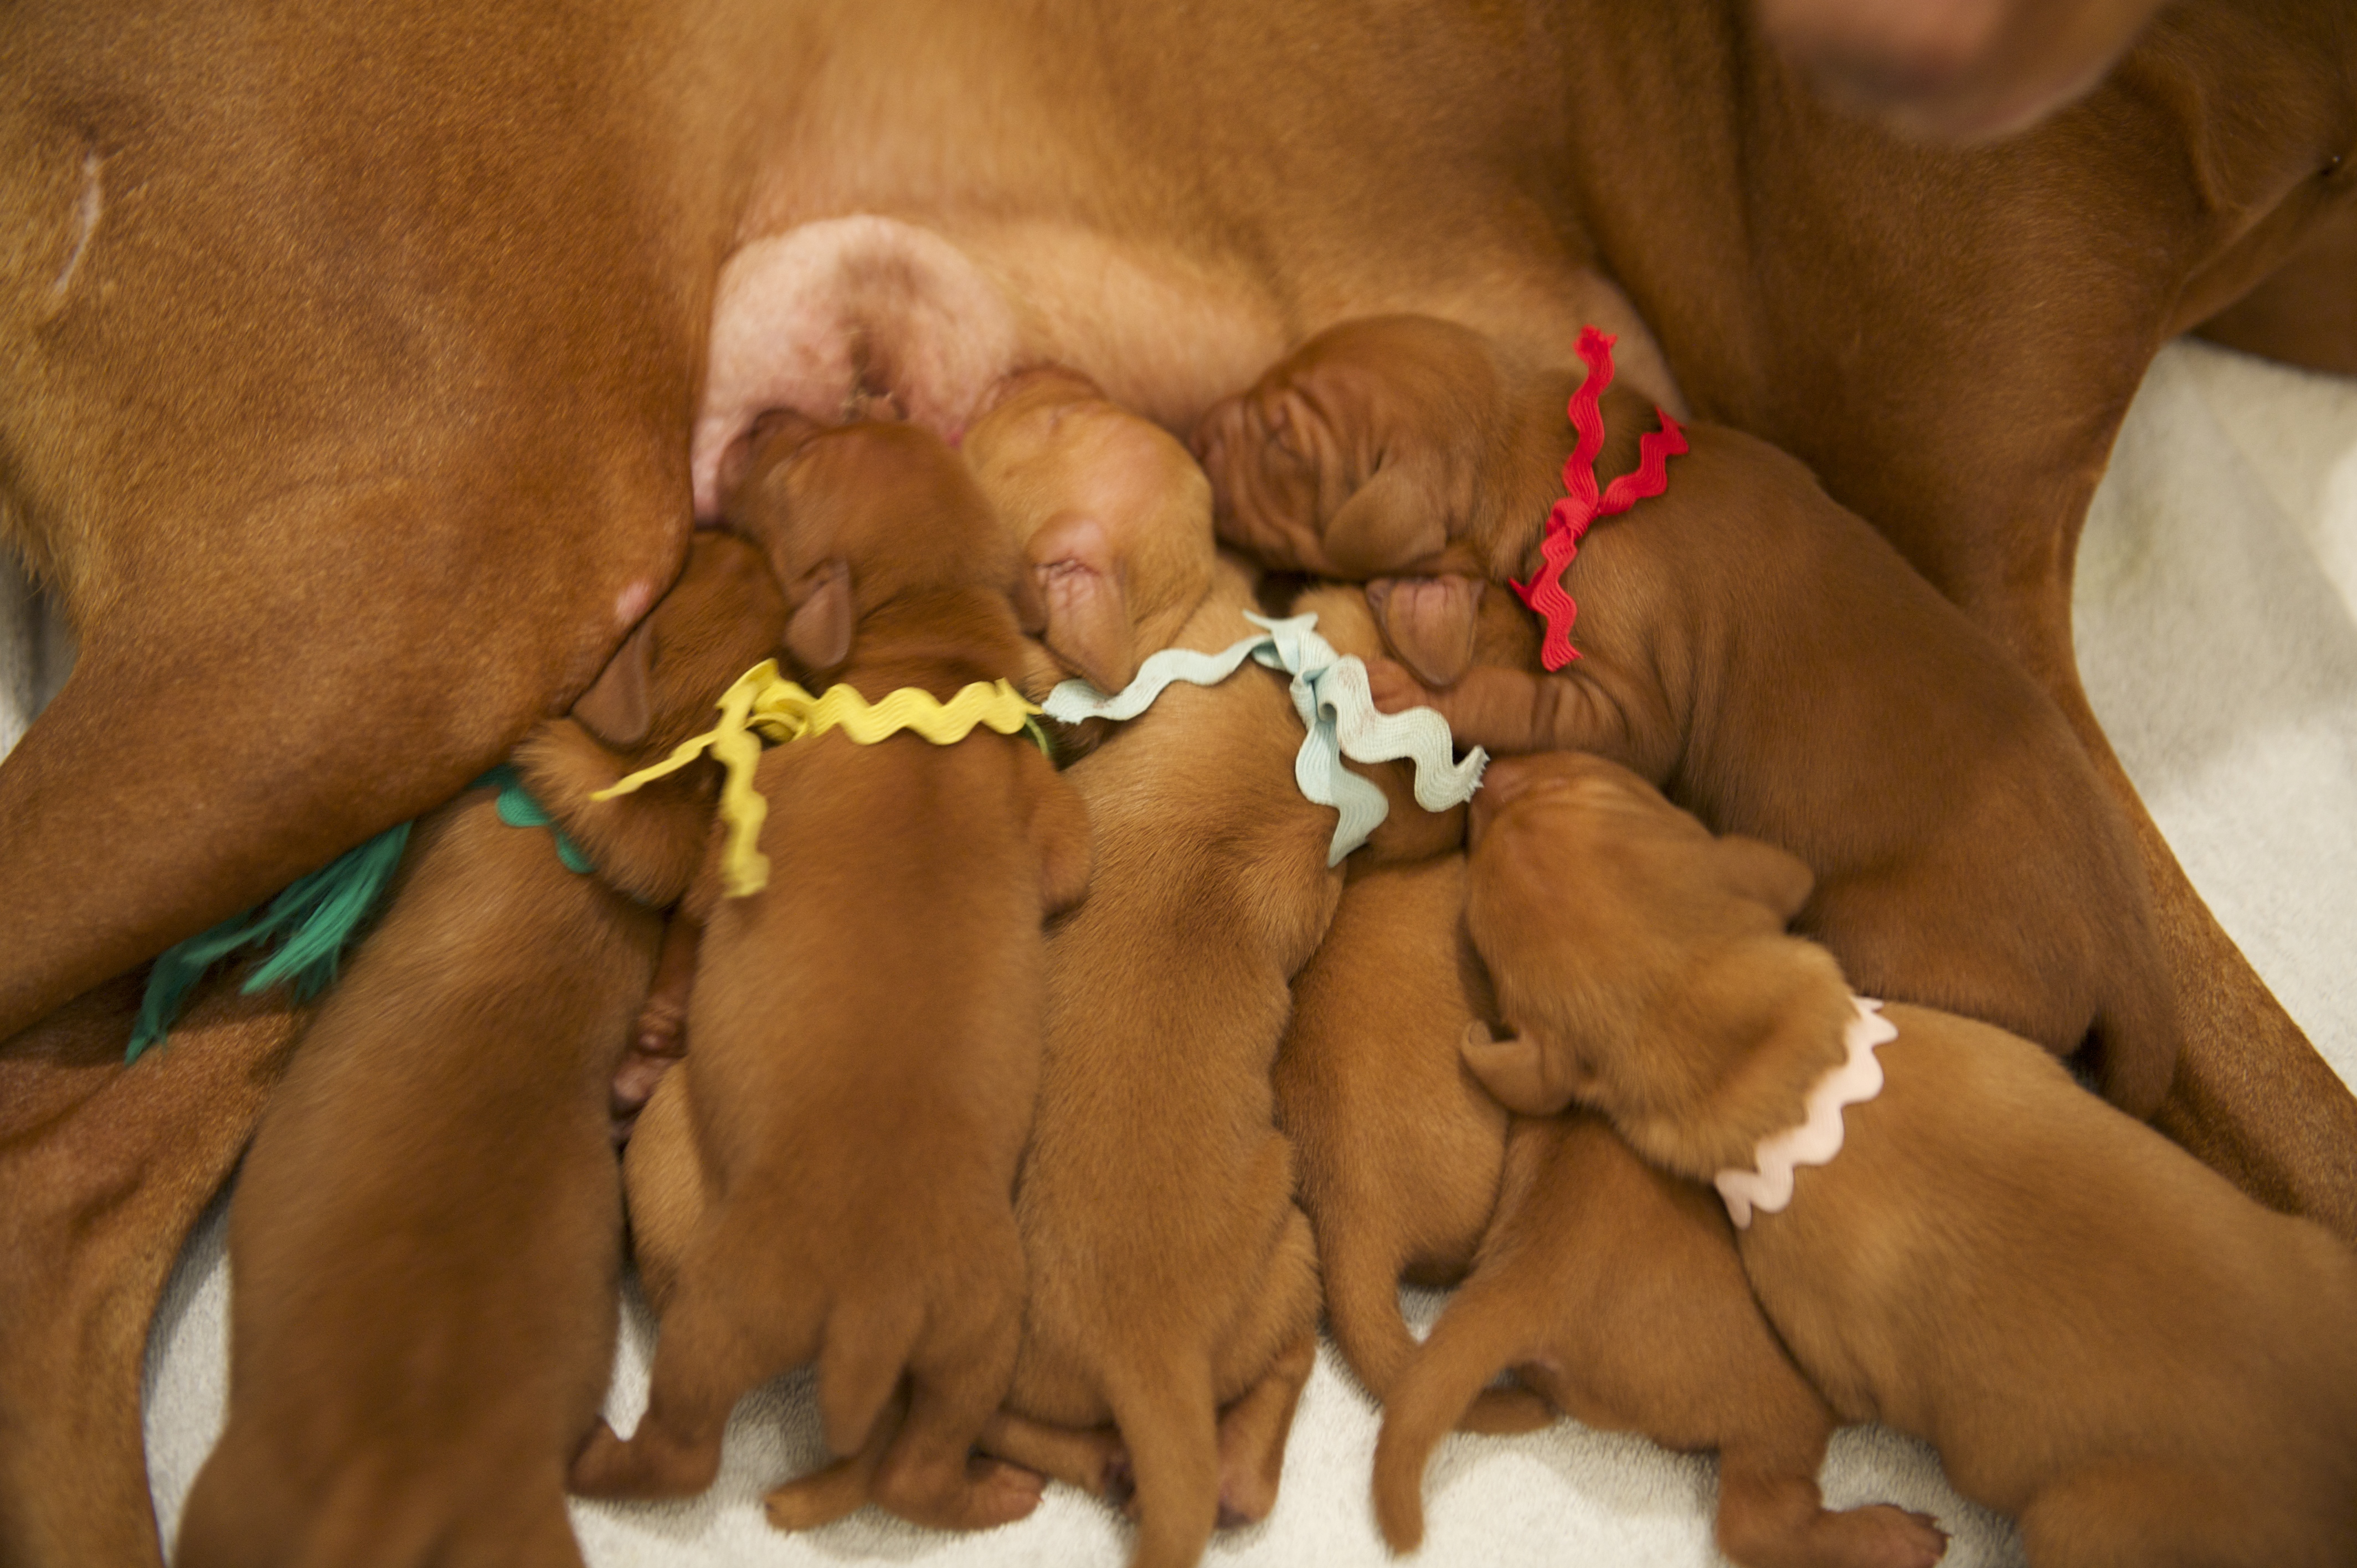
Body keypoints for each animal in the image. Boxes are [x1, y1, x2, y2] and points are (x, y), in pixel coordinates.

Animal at [172, 530, 788, 1568]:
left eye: (689, 558)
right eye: (725, 559)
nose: (740, 531)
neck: (648, 761)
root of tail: (396, 1491)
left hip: (220, 1502)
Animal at [568, 417, 1092, 1532]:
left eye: (797, 463)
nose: (771, 417)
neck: (934, 666)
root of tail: (868, 1311)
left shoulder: (739, 829)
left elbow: (691, 925)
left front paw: (656, 1031)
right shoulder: (1054, 818)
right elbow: (1071, 863)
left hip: (728, 1309)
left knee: (684, 1452)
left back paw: (596, 1454)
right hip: (982, 1319)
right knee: (915, 1470)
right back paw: (992, 1493)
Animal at [1199, 313, 2181, 1116]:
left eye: (1282, 440)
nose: (1202, 434)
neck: (1570, 464)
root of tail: (2132, 948)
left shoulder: (1623, 700)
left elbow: (1522, 700)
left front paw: (1407, 683)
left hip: (1901, 943)